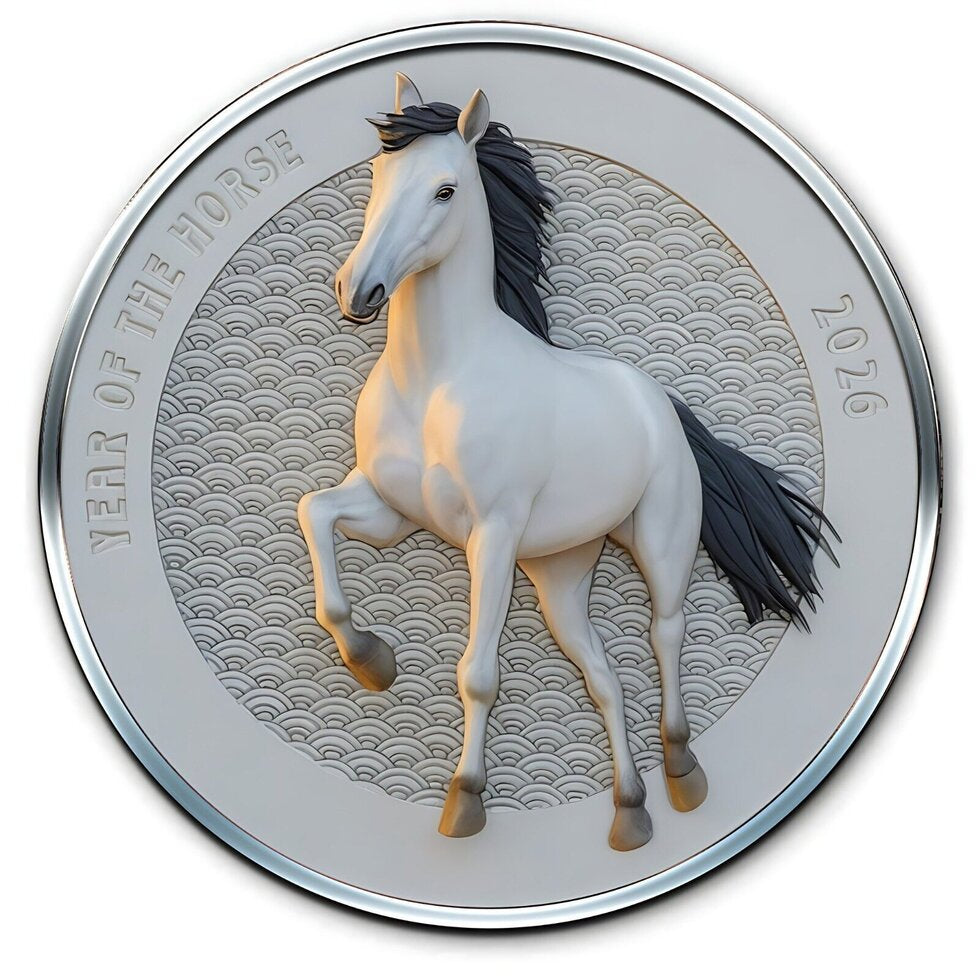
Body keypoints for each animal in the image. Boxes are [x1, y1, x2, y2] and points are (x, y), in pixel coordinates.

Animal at [298, 73, 833, 850]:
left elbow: (478, 672)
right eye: (377, 174)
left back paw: (684, 773)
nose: (356, 292)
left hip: (661, 543)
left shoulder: (490, 535)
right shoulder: (391, 510)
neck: (436, 378)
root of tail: (659, 403)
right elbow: (314, 513)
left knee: (665, 632)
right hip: (560, 574)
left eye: (445, 190)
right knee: (603, 674)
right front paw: (372, 661)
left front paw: (464, 801)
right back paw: (630, 812)